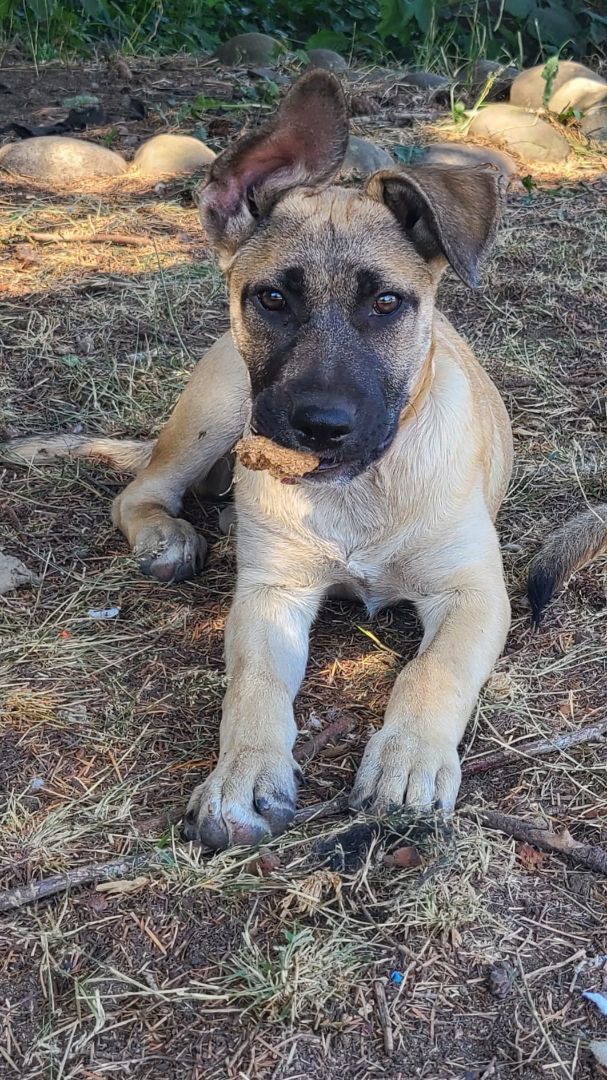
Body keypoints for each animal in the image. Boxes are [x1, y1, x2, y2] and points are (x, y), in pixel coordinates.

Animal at [3, 73, 509, 851]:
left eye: (386, 303)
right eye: (271, 298)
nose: (321, 428)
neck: (357, 492)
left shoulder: (474, 593)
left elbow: (432, 672)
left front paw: (409, 761)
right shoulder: (271, 595)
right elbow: (254, 686)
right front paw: (241, 777)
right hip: (220, 405)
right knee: (140, 489)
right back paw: (169, 536)